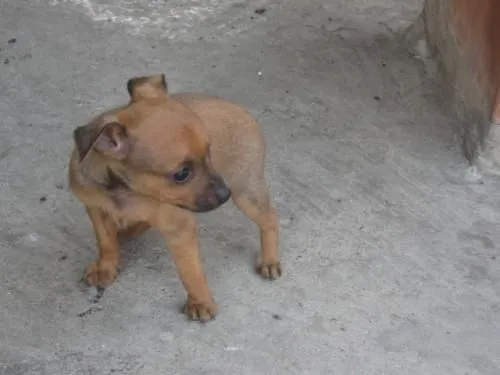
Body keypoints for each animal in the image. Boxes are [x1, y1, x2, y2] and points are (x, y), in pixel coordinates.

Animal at [68, 74, 282, 324]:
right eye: (182, 174)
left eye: (210, 153)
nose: (224, 194)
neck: (124, 190)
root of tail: (241, 109)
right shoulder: (96, 209)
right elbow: (105, 241)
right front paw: (105, 267)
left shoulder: (179, 229)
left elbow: (190, 269)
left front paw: (200, 302)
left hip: (246, 191)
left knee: (270, 219)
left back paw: (269, 260)